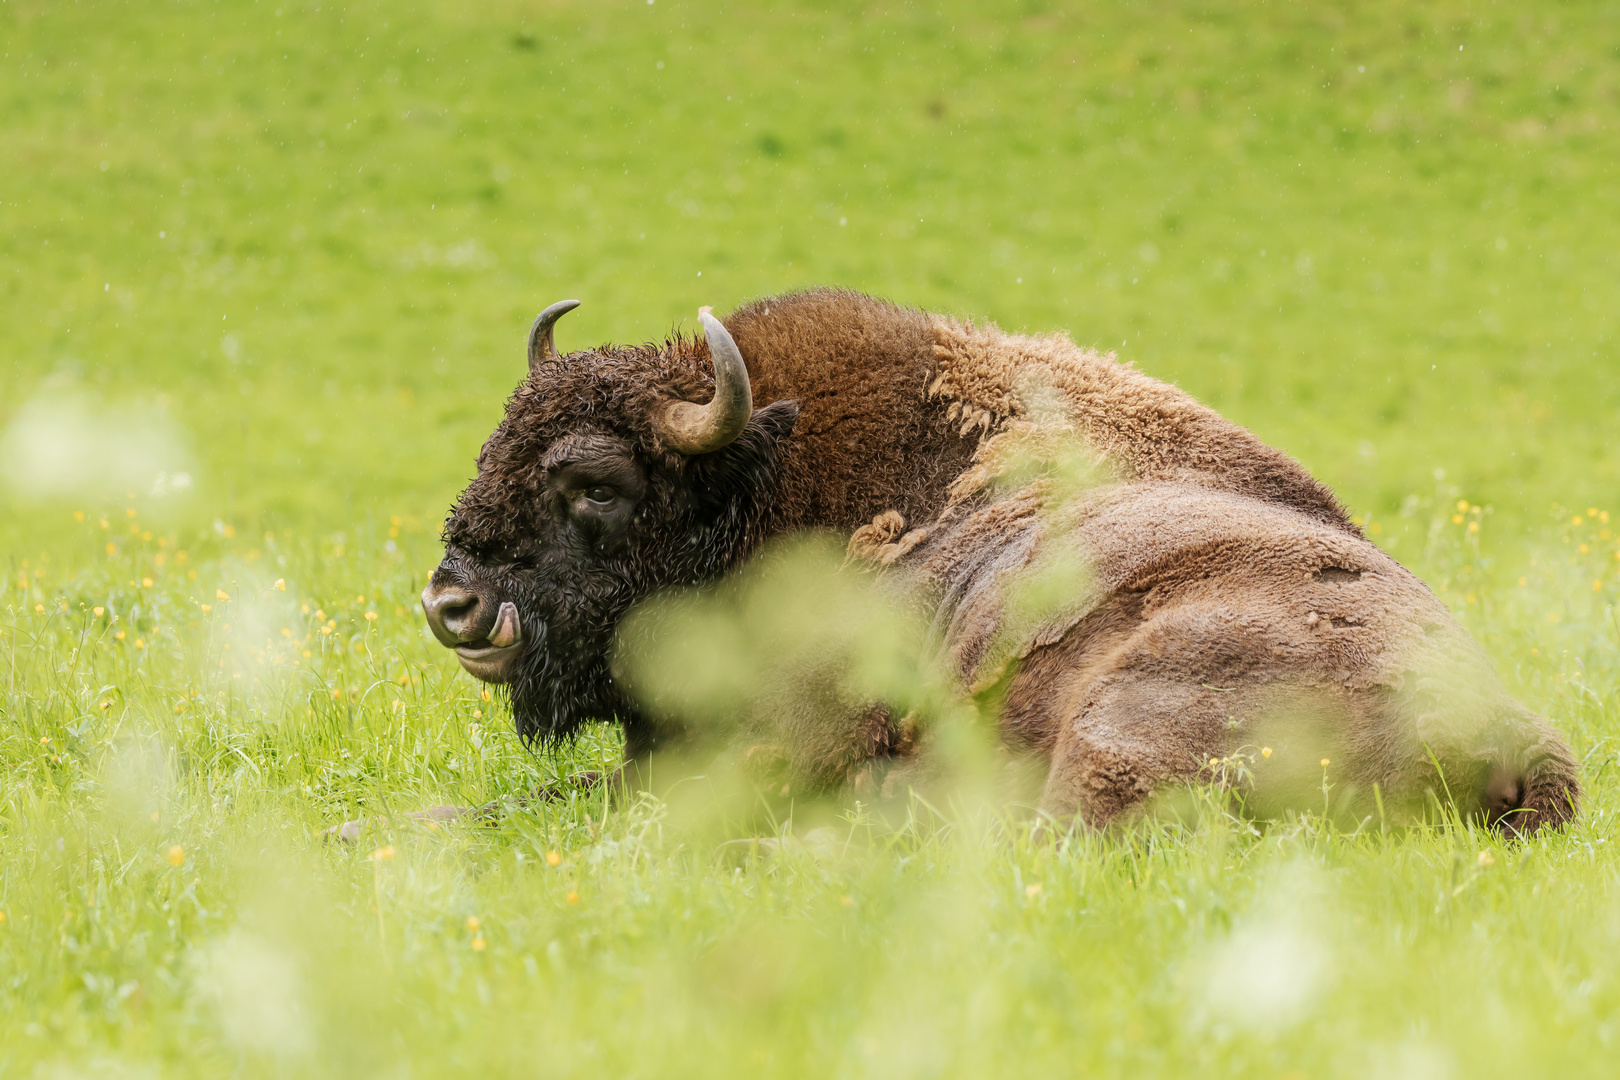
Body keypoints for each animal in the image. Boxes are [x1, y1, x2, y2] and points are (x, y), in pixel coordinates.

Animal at [408, 286, 1581, 835]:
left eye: (596, 485)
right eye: (492, 448)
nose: (452, 602)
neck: (765, 484)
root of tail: (1516, 737)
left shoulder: (777, 744)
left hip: (1131, 717)